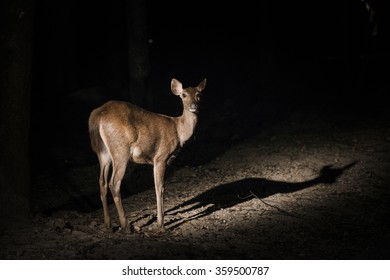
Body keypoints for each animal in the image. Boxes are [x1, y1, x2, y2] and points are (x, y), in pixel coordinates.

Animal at [87, 78, 206, 232]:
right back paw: (126, 226)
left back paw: (108, 224)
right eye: (184, 95)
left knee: (102, 182)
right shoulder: (161, 156)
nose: (193, 106)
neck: (179, 131)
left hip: (103, 152)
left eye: (198, 94)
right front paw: (161, 225)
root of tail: (97, 115)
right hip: (120, 149)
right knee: (114, 182)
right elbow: (160, 188)